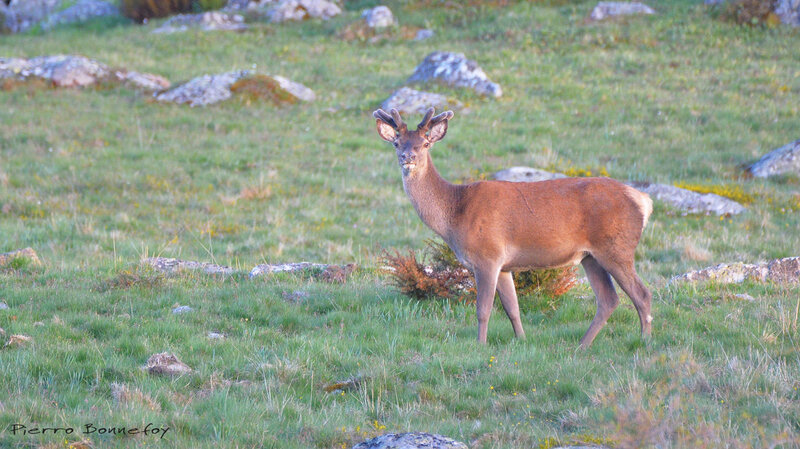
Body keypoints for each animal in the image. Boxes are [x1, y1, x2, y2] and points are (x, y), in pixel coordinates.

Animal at [372, 107, 652, 346]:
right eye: (397, 142)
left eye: (426, 143)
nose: (408, 156)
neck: (455, 214)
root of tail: (643, 200)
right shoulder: (505, 265)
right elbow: (512, 308)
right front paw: (522, 339)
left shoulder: (487, 255)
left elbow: (483, 308)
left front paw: (480, 344)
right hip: (590, 256)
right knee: (608, 299)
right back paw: (582, 345)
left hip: (616, 247)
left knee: (641, 293)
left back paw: (644, 341)